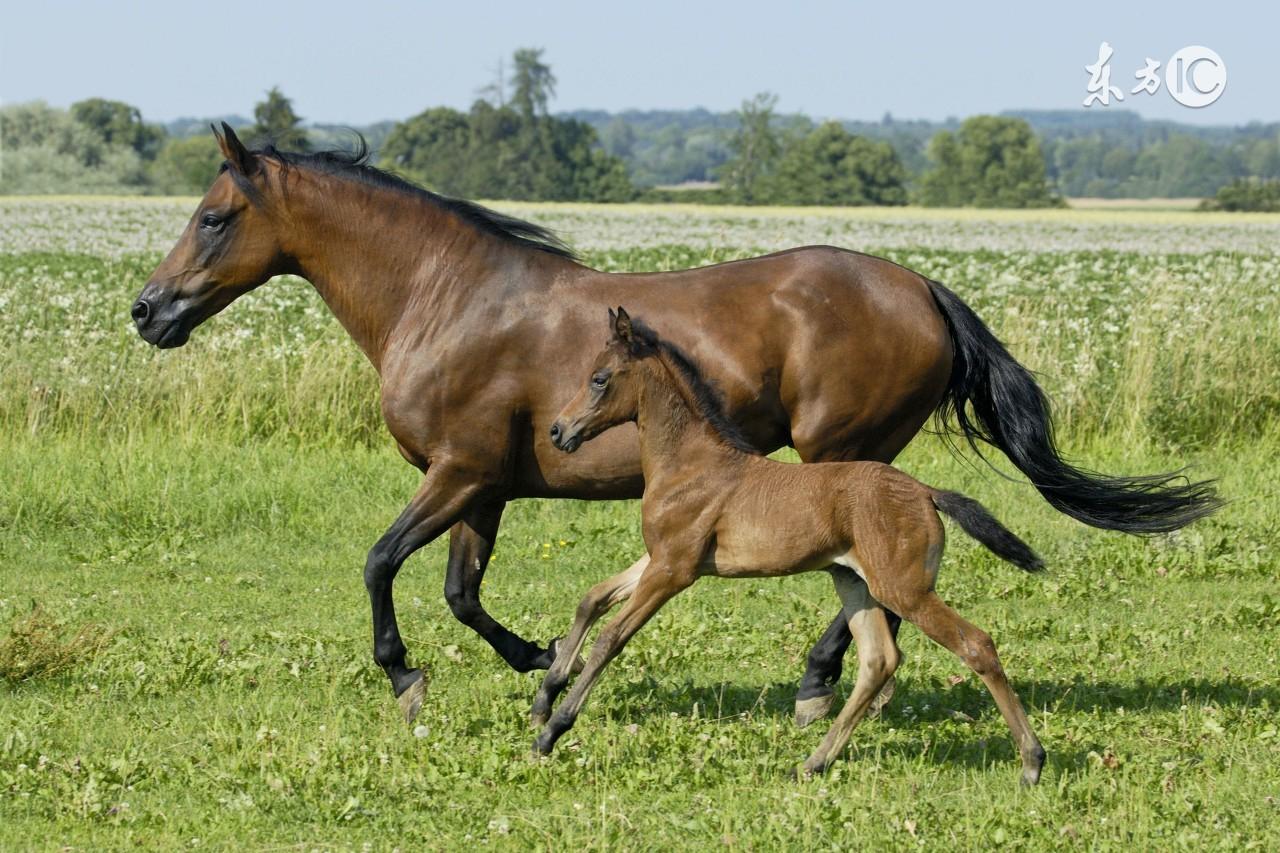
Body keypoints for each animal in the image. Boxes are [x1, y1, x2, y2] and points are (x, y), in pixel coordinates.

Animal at [535, 308, 1044, 778]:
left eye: (599, 378)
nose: (558, 430)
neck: (690, 462)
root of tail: (923, 492)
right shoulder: (660, 557)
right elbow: (592, 598)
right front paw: (545, 695)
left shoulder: (674, 570)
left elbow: (611, 637)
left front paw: (553, 729)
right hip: (854, 582)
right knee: (878, 661)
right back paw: (814, 762)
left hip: (904, 589)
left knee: (976, 645)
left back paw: (1032, 761)